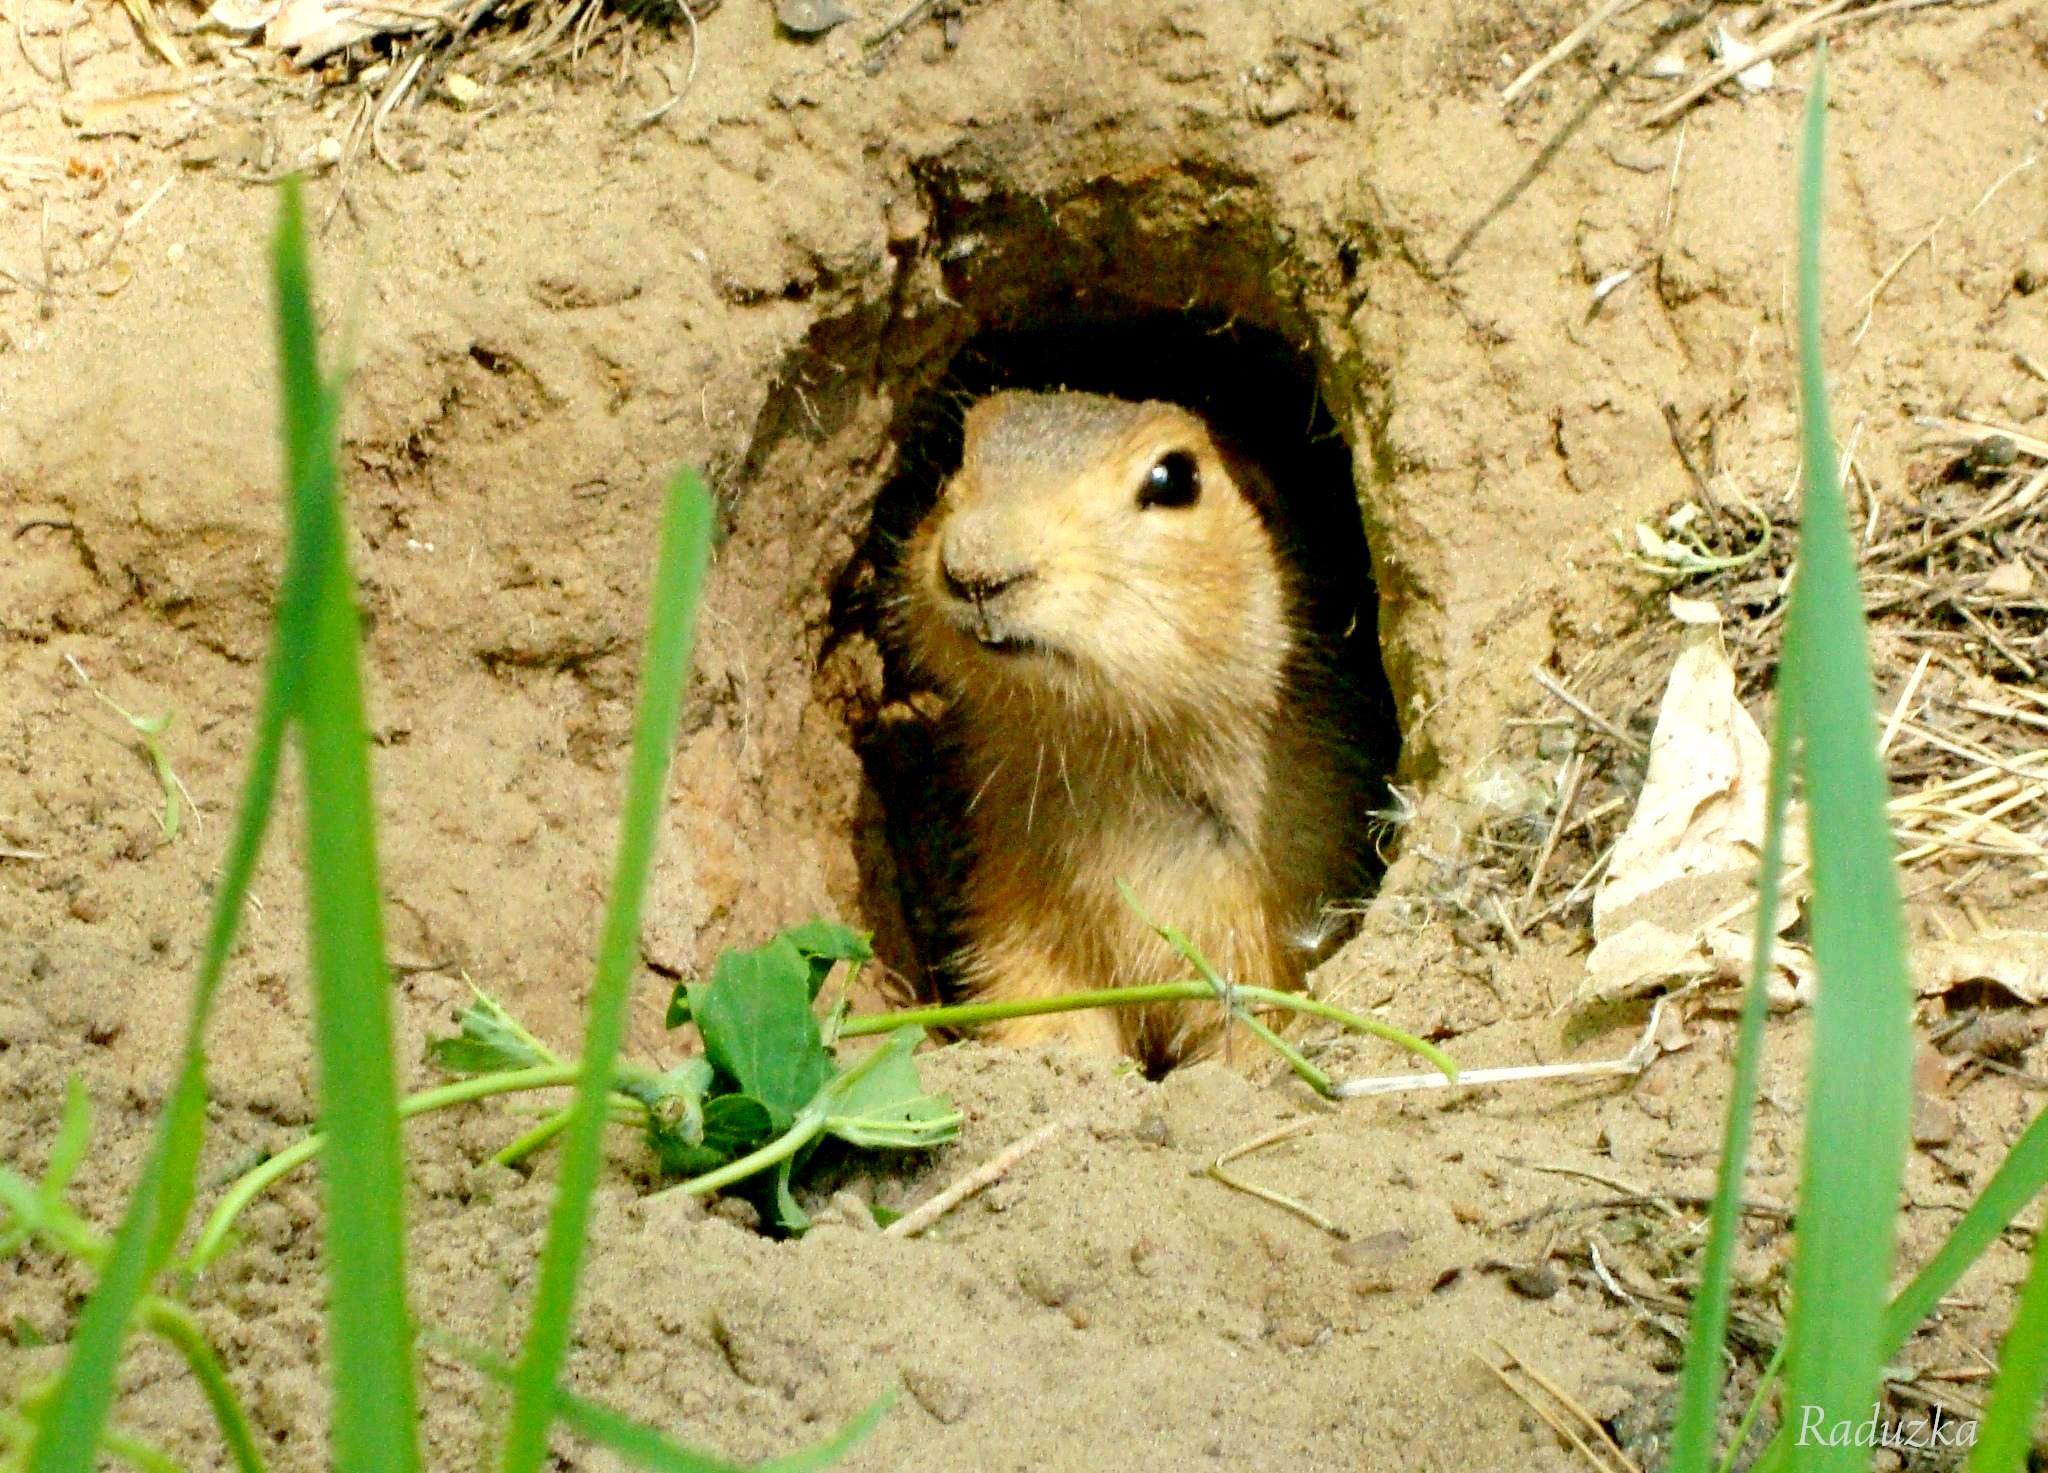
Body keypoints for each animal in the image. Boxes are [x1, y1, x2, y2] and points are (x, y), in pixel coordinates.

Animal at [892, 385, 1384, 1065]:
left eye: (1175, 477)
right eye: (956, 453)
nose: (977, 570)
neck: (1119, 756)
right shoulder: (1014, 907)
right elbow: (1038, 1008)